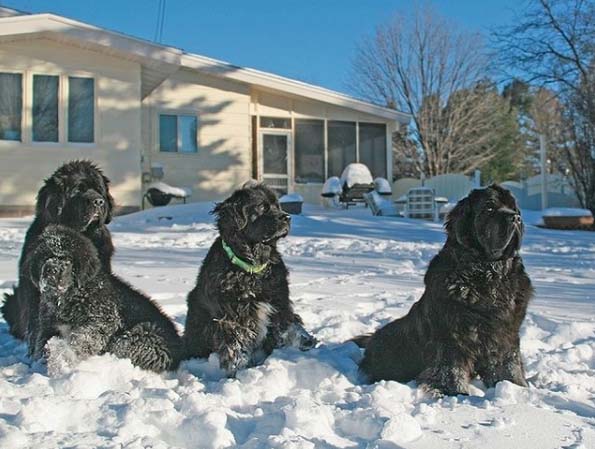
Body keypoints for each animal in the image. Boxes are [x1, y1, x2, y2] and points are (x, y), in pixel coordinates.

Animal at [26, 224, 184, 372]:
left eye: (68, 259)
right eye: (45, 256)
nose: (51, 270)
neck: (68, 297)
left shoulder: (101, 321)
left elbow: (81, 340)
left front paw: (63, 358)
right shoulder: (49, 325)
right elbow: (42, 343)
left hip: (140, 335)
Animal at [185, 183, 316, 374]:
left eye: (278, 206)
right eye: (262, 207)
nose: (288, 217)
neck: (252, 269)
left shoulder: (279, 301)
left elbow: (290, 324)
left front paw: (305, 341)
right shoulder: (232, 316)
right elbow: (236, 346)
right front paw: (238, 371)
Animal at [356, 184, 532, 394]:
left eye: (513, 208)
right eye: (489, 208)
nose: (515, 217)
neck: (489, 275)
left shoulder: (505, 332)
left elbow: (507, 363)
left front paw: (515, 387)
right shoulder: (451, 335)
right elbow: (451, 368)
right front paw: (455, 393)